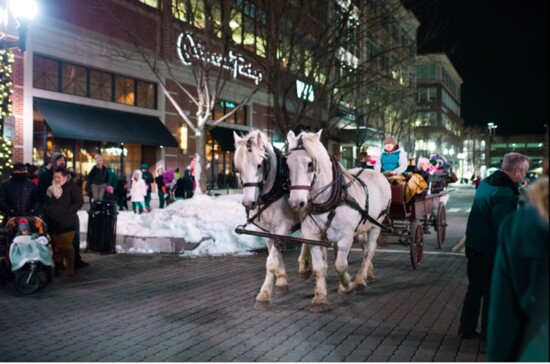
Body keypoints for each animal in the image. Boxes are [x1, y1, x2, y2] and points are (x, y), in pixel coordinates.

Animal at [232, 129, 310, 308]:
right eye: (238, 168)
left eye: (260, 165)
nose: (249, 203)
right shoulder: (266, 231)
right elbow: (274, 255)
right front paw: (281, 280)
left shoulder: (282, 227)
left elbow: (271, 262)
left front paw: (264, 294)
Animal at [286, 129, 390, 312]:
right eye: (288, 164)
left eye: (310, 164)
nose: (296, 202)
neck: (329, 201)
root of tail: (378, 173)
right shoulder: (312, 236)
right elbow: (320, 267)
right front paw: (320, 297)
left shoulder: (345, 236)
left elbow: (341, 265)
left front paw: (347, 287)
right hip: (361, 228)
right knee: (364, 248)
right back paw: (368, 273)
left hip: (376, 224)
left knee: (369, 250)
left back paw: (360, 279)